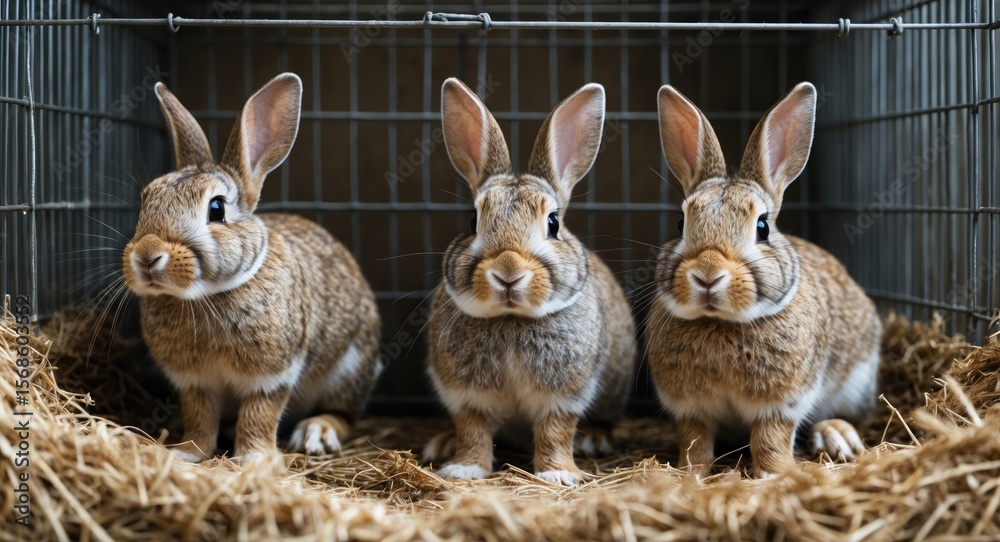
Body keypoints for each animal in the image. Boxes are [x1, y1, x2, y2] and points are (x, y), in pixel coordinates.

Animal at [122, 73, 382, 462]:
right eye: (146, 200)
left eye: (216, 209)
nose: (147, 256)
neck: (206, 295)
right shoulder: (193, 382)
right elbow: (200, 417)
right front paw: (185, 452)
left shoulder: (273, 375)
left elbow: (260, 414)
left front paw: (253, 459)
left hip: (350, 371)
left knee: (344, 413)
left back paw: (316, 433)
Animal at [422, 77, 637, 486]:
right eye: (472, 221)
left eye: (553, 223)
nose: (508, 272)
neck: (511, 319)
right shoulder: (464, 394)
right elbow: (472, 429)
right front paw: (463, 468)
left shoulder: (564, 395)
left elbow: (555, 431)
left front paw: (558, 475)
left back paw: (594, 439)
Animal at [644, 82, 882, 478]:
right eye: (680, 224)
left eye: (762, 227)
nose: (708, 275)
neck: (720, 324)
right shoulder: (689, 408)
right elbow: (695, 442)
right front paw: (690, 474)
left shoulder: (782, 403)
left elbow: (770, 438)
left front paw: (775, 474)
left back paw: (836, 435)